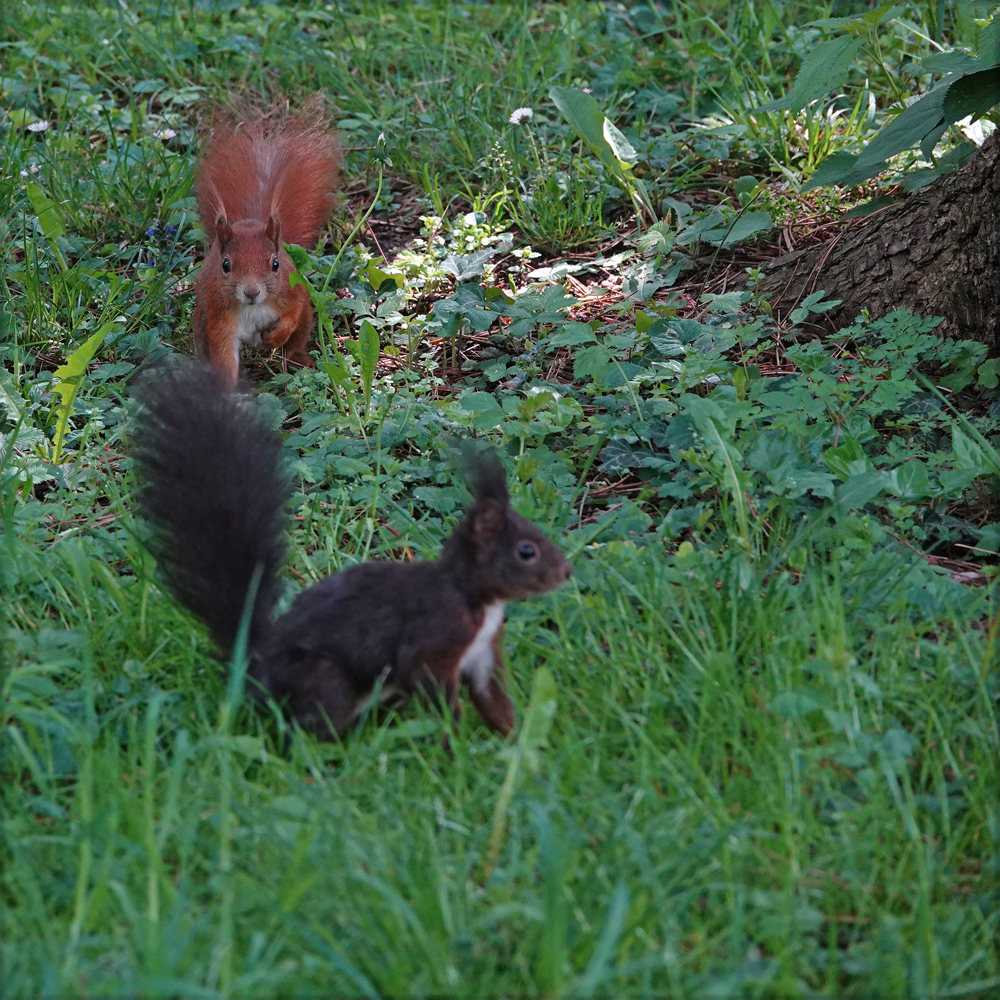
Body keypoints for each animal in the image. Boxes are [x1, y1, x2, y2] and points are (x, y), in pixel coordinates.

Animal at [129, 364, 576, 740]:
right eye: (526, 551)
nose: (567, 573)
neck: (472, 595)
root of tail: (255, 666)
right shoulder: (433, 642)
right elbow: (436, 693)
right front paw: (456, 751)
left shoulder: (483, 654)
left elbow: (494, 702)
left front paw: (514, 749)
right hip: (326, 681)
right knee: (310, 727)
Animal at [191, 101, 340, 388]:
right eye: (225, 265)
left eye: (275, 264)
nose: (251, 292)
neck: (253, 309)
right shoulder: (219, 319)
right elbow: (224, 356)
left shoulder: (291, 294)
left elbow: (290, 318)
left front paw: (272, 337)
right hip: (201, 322)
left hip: (307, 316)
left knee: (298, 334)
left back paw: (299, 358)